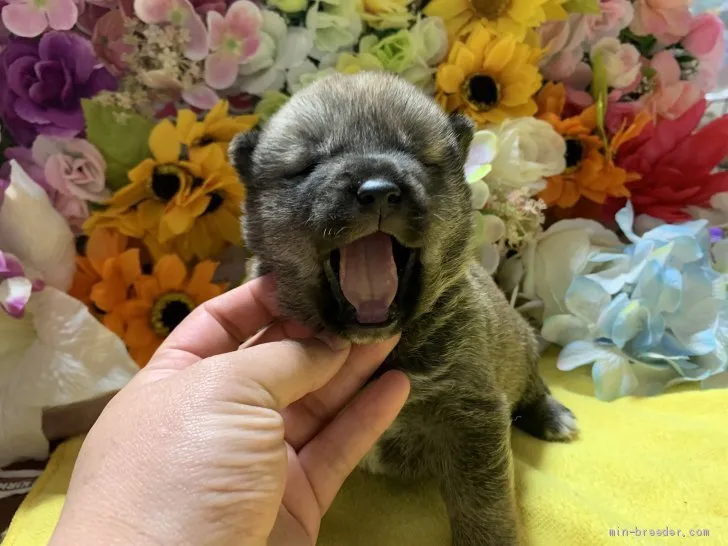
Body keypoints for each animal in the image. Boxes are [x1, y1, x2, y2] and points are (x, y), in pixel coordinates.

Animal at [230, 72, 576, 544]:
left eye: (420, 158)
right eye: (308, 164)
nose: (378, 192)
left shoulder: (471, 414)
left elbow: (482, 503)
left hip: (520, 348)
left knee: (534, 386)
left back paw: (553, 417)